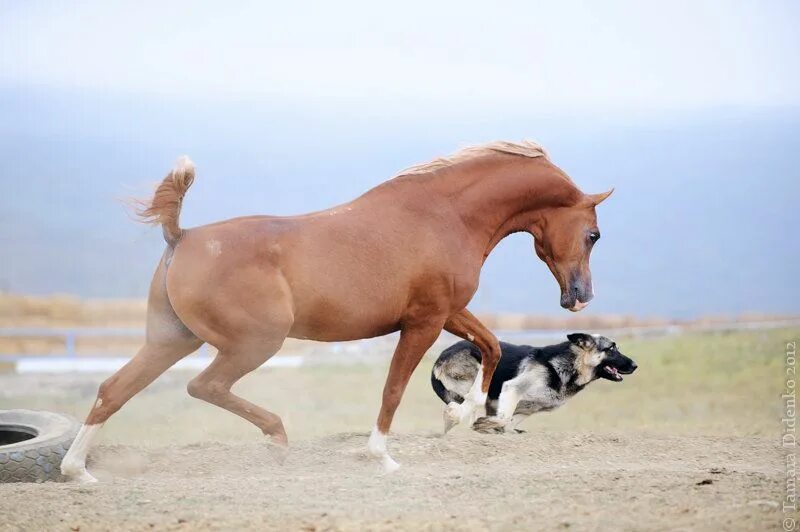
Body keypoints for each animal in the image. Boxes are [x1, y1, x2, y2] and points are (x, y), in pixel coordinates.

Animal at [61, 140, 612, 478]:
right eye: (593, 234)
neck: (444, 216)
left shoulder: (449, 311)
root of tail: (182, 236)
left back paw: (77, 473)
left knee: (114, 390)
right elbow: (394, 389)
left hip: (172, 339)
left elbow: (492, 346)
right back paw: (279, 437)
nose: (579, 297)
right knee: (204, 386)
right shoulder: (423, 321)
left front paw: (469, 413)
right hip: (254, 343)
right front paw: (383, 458)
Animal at [432, 334, 636, 434]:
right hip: (477, 378)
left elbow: (508, 423)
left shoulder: (529, 409)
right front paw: (484, 425)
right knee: (464, 410)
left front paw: (496, 429)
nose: (635, 365)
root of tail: (440, 358)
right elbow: (503, 419)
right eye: (611, 348)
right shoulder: (511, 389)